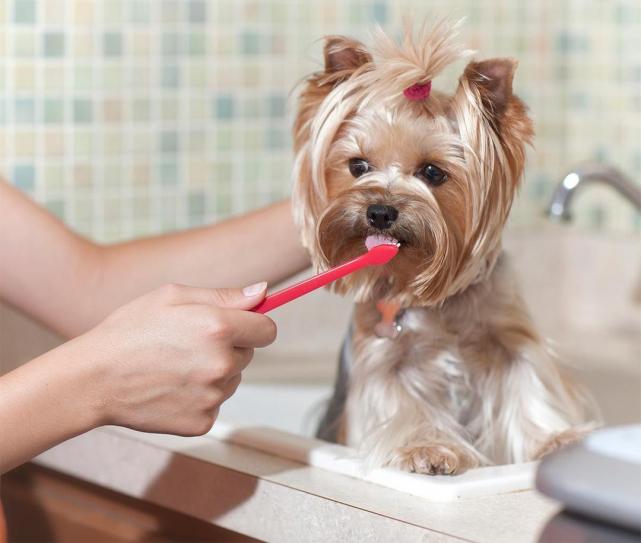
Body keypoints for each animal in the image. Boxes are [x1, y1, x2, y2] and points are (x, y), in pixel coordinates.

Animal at [290, 20, 596, 476]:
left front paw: (557, 440)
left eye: (433, 172)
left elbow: (527, 387)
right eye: (358, 166)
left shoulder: (509, 338)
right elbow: (402, 405)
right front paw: (428, 449)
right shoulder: (382, 355)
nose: (380, 211)